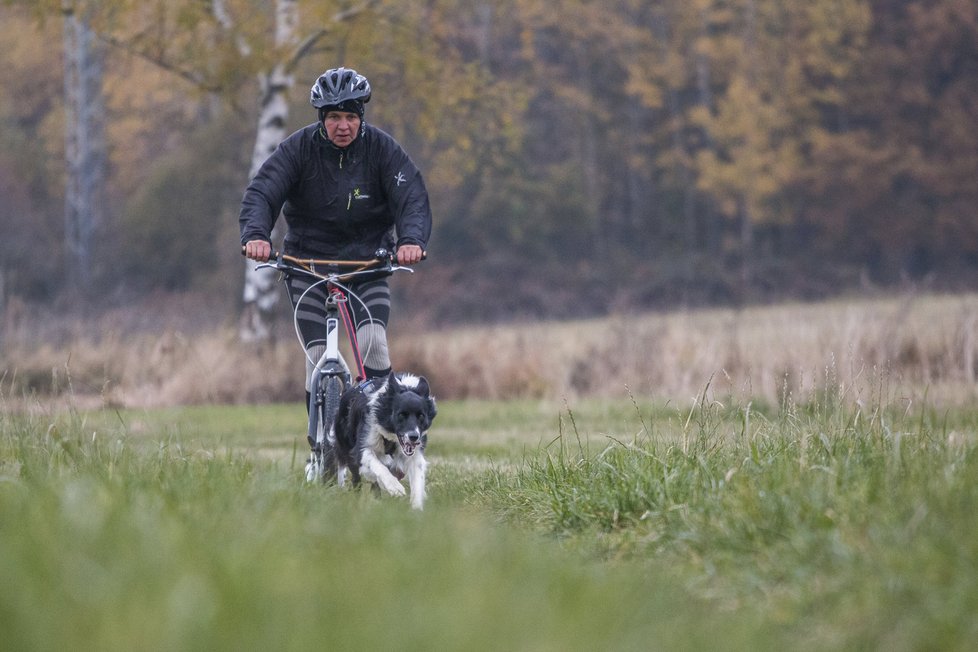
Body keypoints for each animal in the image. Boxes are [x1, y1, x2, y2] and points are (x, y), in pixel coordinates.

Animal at [326, 372, 436, 510]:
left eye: (421, 416)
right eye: (401, 415)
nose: (414, 437)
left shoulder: (415, 455)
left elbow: (417, 481)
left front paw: (416, 509)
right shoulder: (361, 447)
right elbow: (378, 466)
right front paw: (394, 487)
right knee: (357, 479)